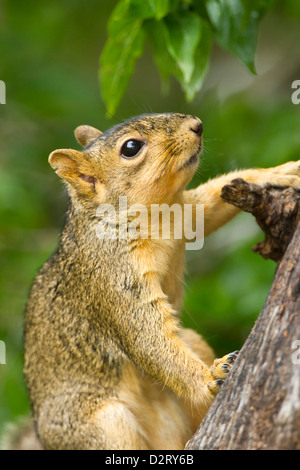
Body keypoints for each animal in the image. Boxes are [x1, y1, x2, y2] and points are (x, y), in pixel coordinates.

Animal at [18, 112, 300, 450]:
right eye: (130, 148)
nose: (196, 125)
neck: (156, 216)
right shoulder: (113, 277)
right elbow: (147, 338)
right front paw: (209, 379)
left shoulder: (188, 213)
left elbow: (215, 197)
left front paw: (281, 172)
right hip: (102, 425)